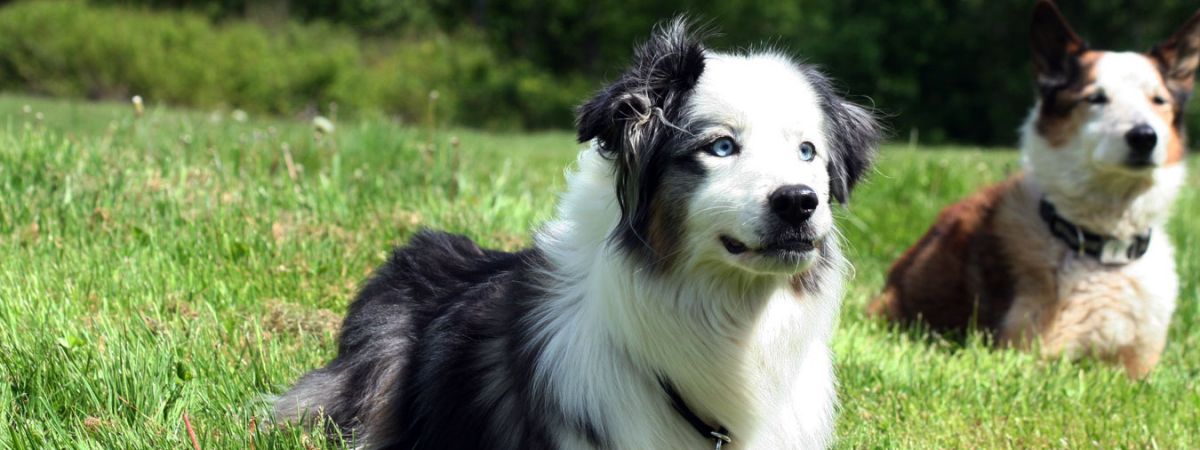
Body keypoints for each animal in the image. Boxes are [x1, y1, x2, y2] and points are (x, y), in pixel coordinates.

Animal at [869, 0, 1198, 378]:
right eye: (1096, 98)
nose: (1144, 136)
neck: (1104, 251)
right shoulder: (1030, 354)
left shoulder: (1140, 364)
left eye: (1158, 100)